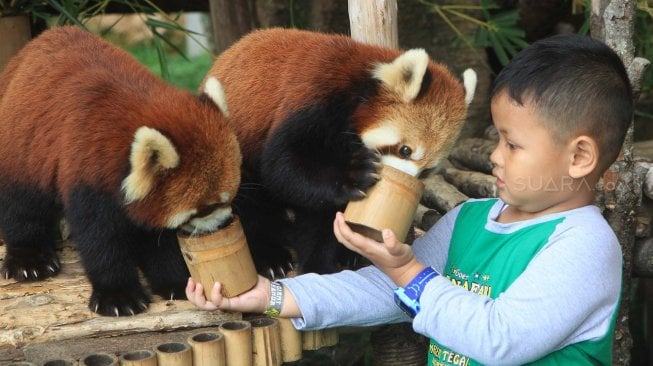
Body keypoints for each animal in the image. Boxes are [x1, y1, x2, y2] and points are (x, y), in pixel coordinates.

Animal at [0, 27, 242, 316]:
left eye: (231, 197)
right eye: (206, 207)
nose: (224, 222)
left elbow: (157, 237)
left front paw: (175, 282)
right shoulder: (88, 172)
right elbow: (101, 240)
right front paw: (118, 297)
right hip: (25, 144)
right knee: (22, 202)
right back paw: (29, 259)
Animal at [201, 27, 476, 274]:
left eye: (426, 171)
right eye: (405, 150)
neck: (357, 88)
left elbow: (320, 210)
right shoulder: (312, 100)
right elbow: (283, 166)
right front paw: (353, 175)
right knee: (251, 207)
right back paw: (271, 257)